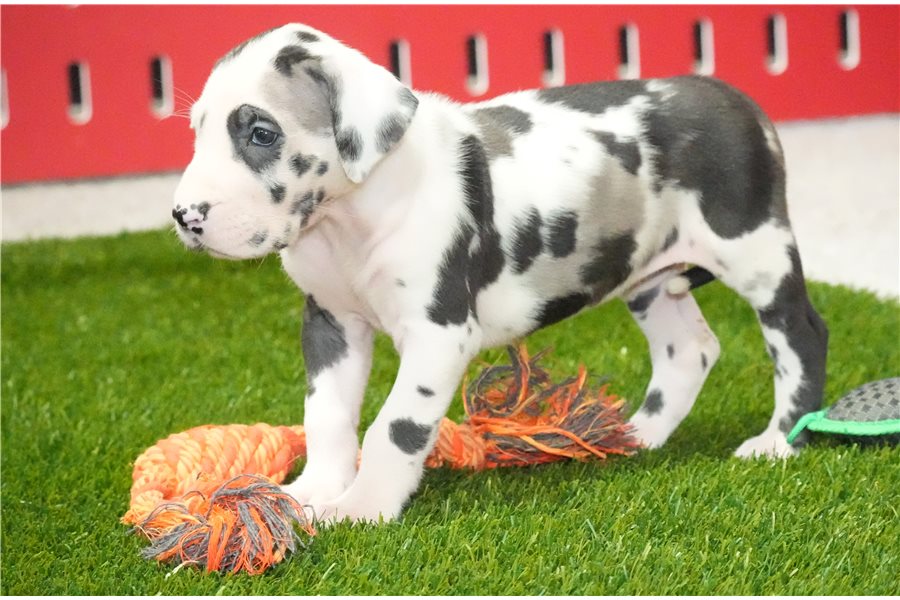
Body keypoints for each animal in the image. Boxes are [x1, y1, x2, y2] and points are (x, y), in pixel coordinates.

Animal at [172, 24, 829, 524]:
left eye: (262, 133)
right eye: (196, 130)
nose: (183, 216)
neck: (349, 221)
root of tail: (738, 100)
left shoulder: (438, 334)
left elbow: (395, 425)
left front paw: (363, 508)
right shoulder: (330, 324)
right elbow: (327, 418)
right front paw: (309, 494)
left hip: (757, 253)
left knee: (801, 334)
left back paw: (778, 441)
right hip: (650, 279)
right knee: (690, 349)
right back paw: (637, 434)